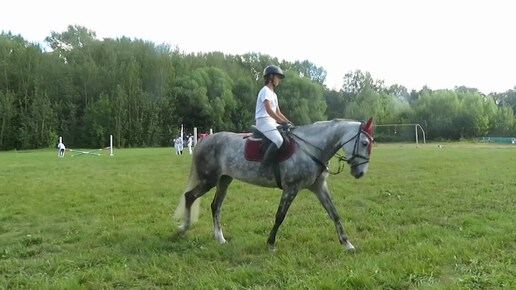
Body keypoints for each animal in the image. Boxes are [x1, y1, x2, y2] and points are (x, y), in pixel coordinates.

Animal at [175, 118, 372, 251]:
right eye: (364, 143)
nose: (360, 173)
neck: (311, 148)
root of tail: (206, 139)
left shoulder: (319, 187)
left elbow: (334, 213)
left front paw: (347, 243)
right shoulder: (291, 188)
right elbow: (280, 216)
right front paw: (270, 243)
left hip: (224, 180)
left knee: (215, 206)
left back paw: (220, 238)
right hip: (208, 180)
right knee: (190, 196)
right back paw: (184, 228)